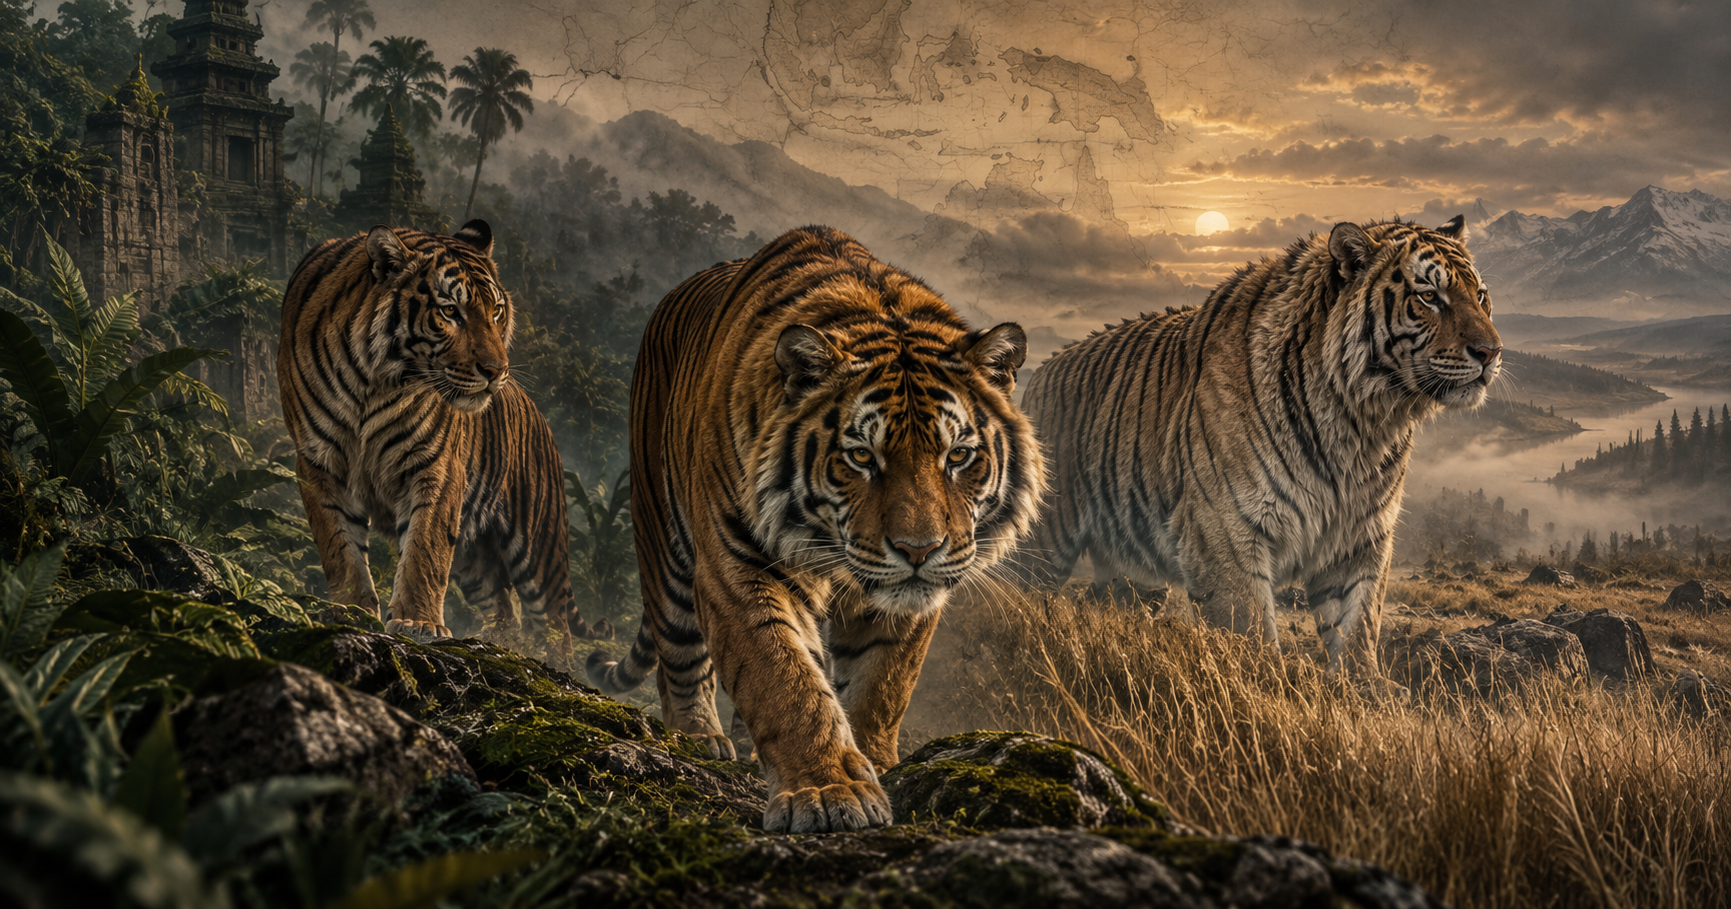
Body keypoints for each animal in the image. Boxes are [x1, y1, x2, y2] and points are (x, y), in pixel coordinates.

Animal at [277, 220, 599, 657]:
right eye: (450, 312)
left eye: (496, 312)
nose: (496, 371)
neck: (374, 380)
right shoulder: (318, 461)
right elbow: (338, 545)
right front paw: (350, 612)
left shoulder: (436, 465)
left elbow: (424, 549)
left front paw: (418, 623)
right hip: (475, 561)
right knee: (503, 610)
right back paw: (498, 642)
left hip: (538, 549)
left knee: (554, 627)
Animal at [586, 226, 1046, 833]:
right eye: (861, 457)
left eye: (958, 456)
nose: (919, 550)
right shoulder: (740, 567)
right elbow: (785, 680)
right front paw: (829, 792)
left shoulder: (908, 603)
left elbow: (881, 685)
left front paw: (875, 762)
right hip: (663, 540)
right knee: (678, 655)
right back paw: (698, 737)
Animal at [1015, 216, 1501, 689]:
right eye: (1429, 296)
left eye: (1480, 295)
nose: (1491, 352)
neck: (1361, 423)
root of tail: (1039, 374)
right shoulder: (1225, 529)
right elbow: (1248, 631)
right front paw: (1266, 688)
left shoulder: (1359, 537)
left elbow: (1358, 625)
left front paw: (1366, 693)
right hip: (1041, 545)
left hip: (1135, 572)